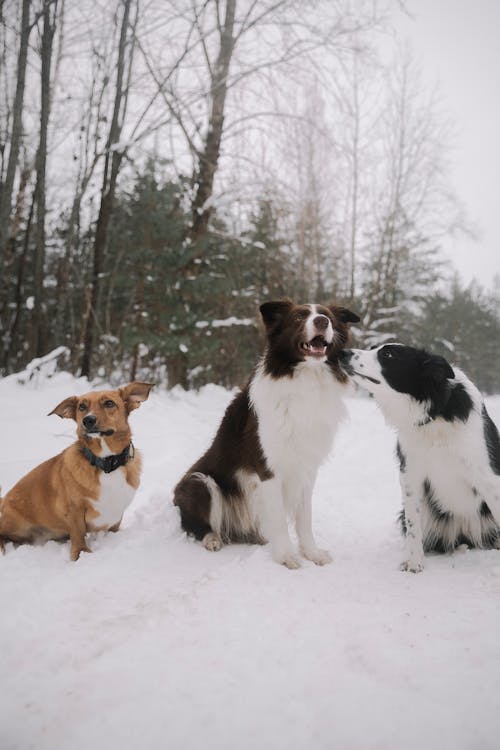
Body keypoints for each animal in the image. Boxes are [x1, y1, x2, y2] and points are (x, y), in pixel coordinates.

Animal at [0, 384, 152, 560]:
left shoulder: (117, 512)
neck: (106, 462)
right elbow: (78, 533)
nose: (88, 420)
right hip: (16, 525)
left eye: (109, 403)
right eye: (82, 407)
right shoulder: (74, 510)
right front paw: (80, 554)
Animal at [174, 300, 358, 568]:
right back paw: (212, 539)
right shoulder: (267, 468)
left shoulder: (307, 467)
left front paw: (311, 552)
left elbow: (305, 518)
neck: (306, 378)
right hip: (198, 482)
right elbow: (280, 519)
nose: (322, 321)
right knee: (195, 524)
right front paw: (286, 556)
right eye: (299, 317)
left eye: (329, 318)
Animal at [342, 346, 500, 576]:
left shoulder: (487, 477)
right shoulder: (410, 475)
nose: (343, 353)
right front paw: (414, 562)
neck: (434, 415)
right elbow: (413, 526)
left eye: (388, 355)